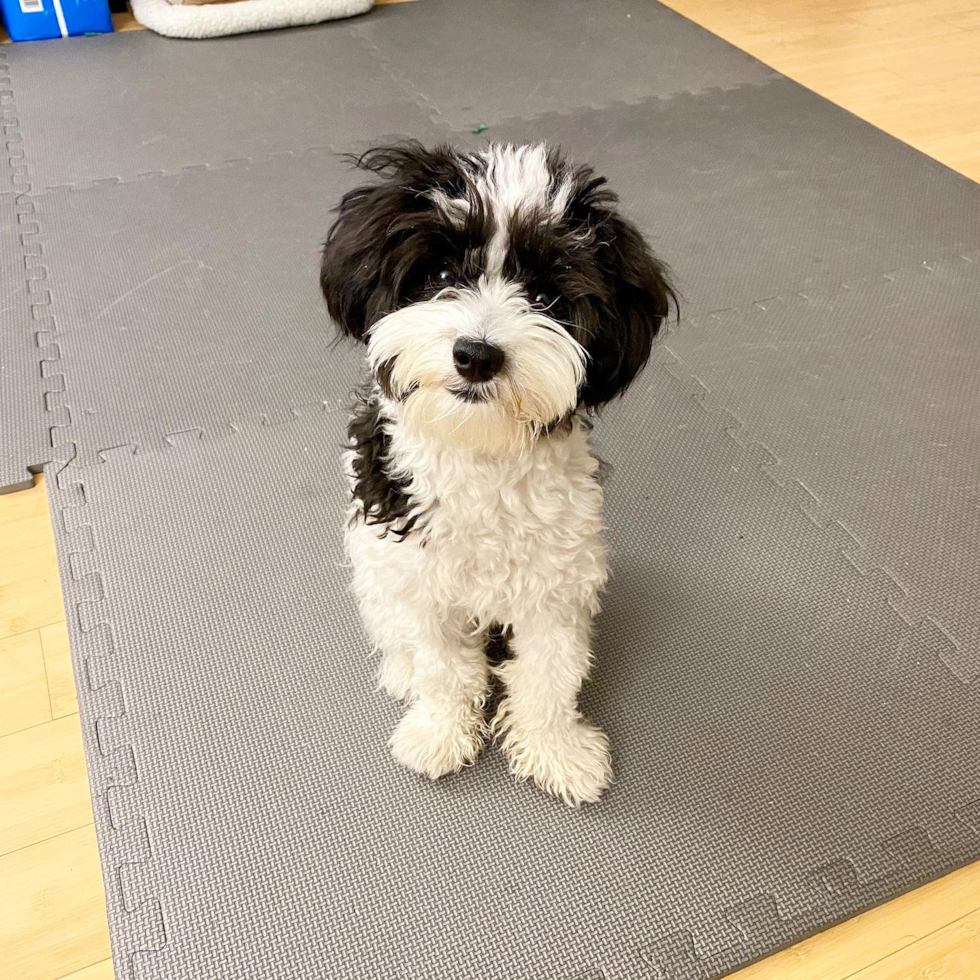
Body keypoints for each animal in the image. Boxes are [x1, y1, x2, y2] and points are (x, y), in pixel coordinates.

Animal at [322, 144, 672, 804]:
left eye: (545, 298)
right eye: (440, 277)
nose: (476, 355)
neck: (480, 450)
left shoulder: (557, 586)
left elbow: (548, 675)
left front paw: (557, 751)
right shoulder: (422, 584)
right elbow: (444, 669)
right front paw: (440, 733)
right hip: (375, 566)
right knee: (391, 628)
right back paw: (401, 671)